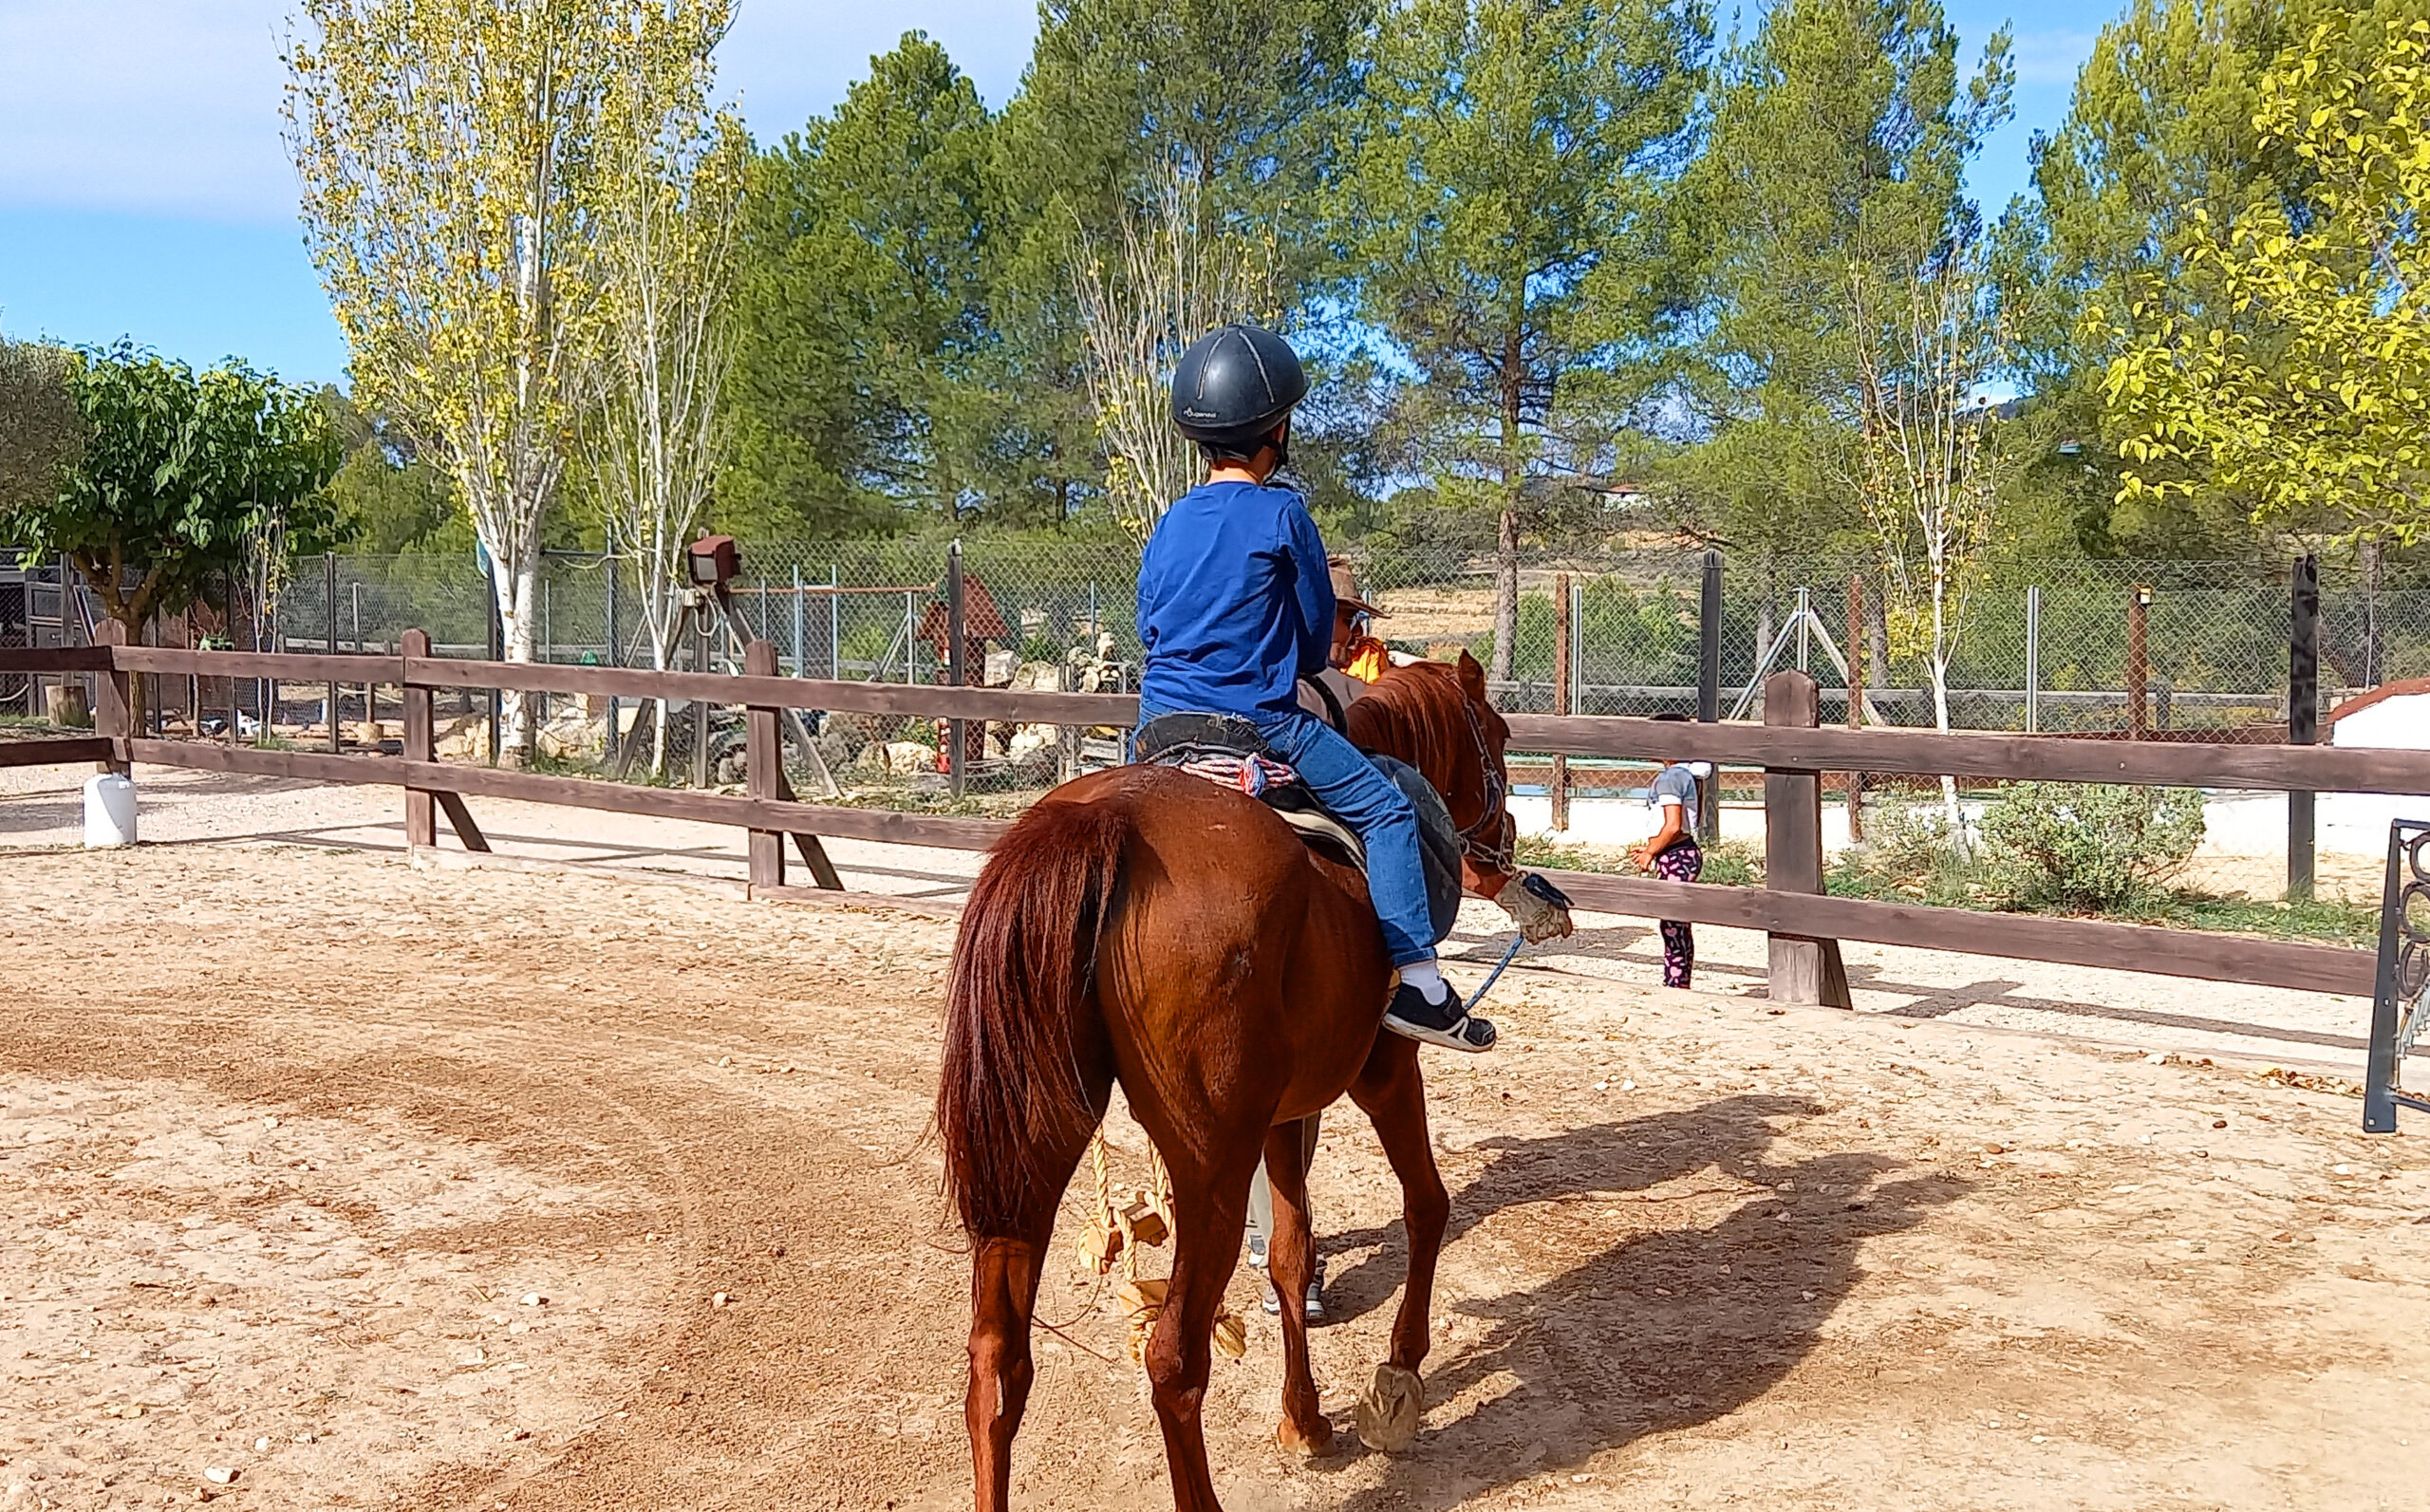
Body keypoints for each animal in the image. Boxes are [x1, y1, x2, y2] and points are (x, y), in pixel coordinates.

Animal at [927, 656, 1555, 1512]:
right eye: (1497, 733)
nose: (1507, 839)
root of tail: (1103, 823)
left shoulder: (1285, 1115)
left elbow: (1292, 1253)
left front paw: (1305, 1418)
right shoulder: (1386, 1072)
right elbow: (1427, 1206)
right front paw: (1398, 1376)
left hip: (1037, 1143)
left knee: (997, 1363)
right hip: (1210, 1167)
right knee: (1173, 1359)